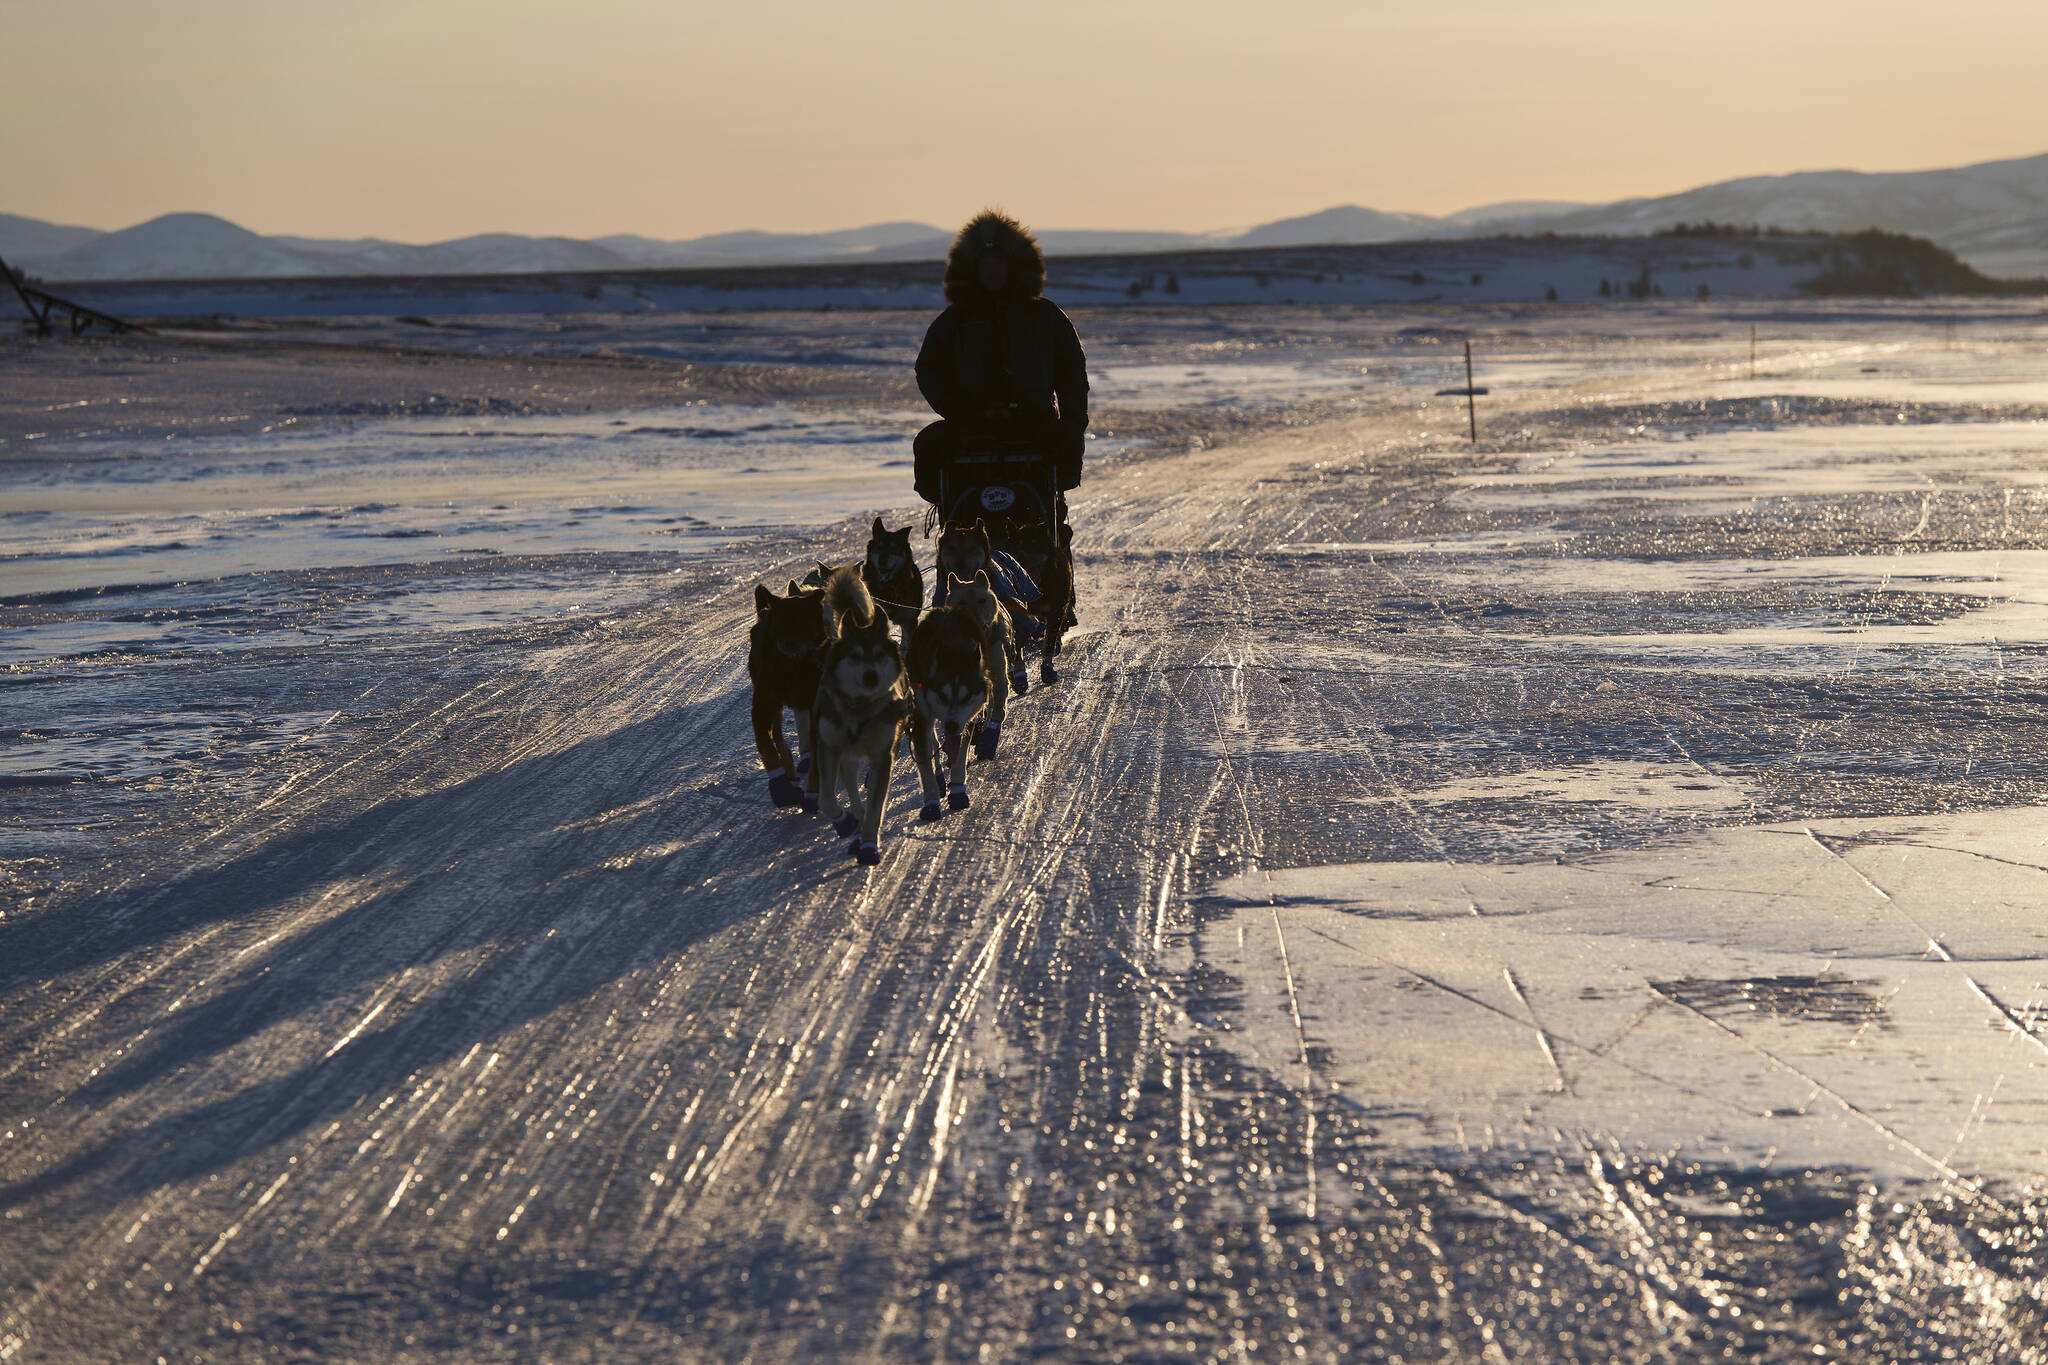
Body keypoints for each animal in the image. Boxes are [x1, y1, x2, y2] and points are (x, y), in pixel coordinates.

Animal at [749, 581, 827, 810]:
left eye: (803, 622)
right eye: (781, 623)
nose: (789, 644)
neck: (793, 667)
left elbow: (817, 759)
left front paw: (812, 793)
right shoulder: (762, 705)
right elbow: (765, 745)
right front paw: (781, 786)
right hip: (773, 704)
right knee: (776, 734)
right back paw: (788, 772)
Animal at [806, 564, 913, 863]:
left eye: (879, 655)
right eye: (854, 656)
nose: (870, 676)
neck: (860, 710)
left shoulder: (882, 755)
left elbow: (876, 807)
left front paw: (868, 844)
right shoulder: (829, 747)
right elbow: (827, 800)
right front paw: (845, 821)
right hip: (846, 755)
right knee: (852, 788)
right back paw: (854, 816)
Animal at [917, 593, 1003, 810]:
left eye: (966, 696)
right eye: (942, 695)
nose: (951, 725)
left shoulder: (966, 720)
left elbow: (959, 755)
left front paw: (957, 791)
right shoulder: (921, 715)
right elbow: (925, 762)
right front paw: (931, 800)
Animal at [937, 573, 1011, 765]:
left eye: (982, 600)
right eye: (962, 602)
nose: (975, 620)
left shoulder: (998, 675)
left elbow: (998, 710)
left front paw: (987, 742)